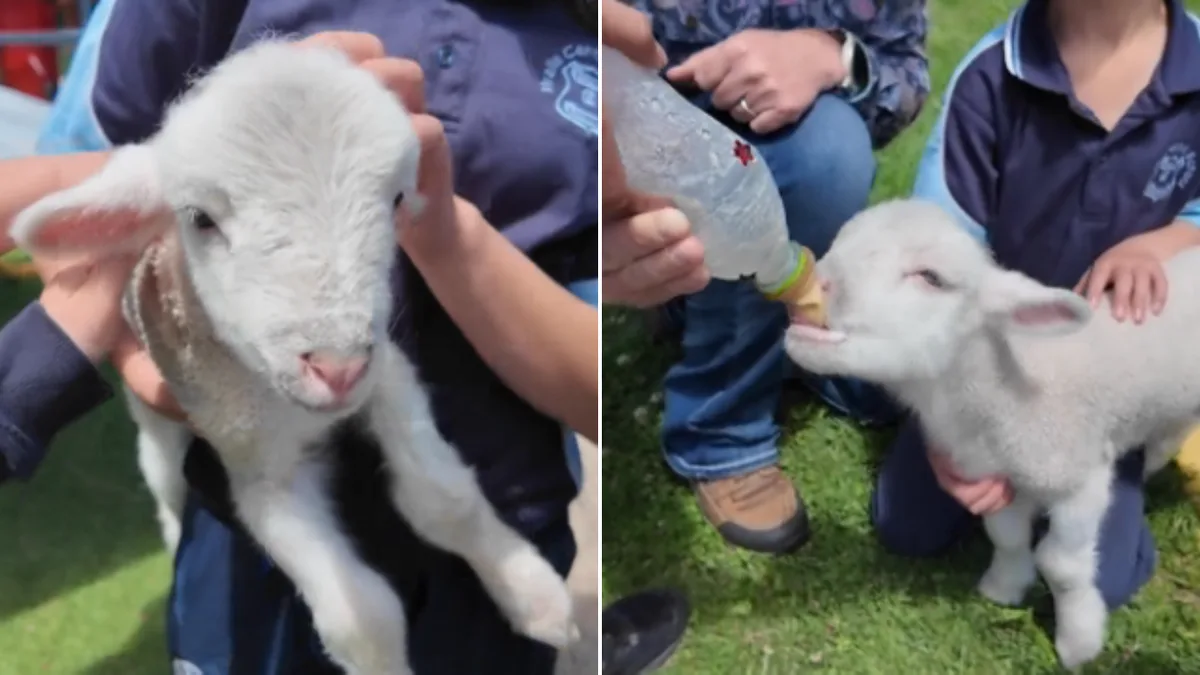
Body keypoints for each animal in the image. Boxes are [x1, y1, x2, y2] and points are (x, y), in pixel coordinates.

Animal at [11, 40, 576, 675]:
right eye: (199, 219)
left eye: (397, 200)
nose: (337, 367)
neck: (286, 403)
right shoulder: (257, 468)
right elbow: (362, 618)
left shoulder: (388, 374)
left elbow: (442, 497)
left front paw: (535, 595)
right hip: (154, 420)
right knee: (166, 486)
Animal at [782, 198, 1200, 670]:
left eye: (931, 278)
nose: (815, 286)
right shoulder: (991, 473)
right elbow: (1007, 535)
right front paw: (1004, 585)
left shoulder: (1080, 479)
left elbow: (1061, 565)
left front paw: (1078, 641)